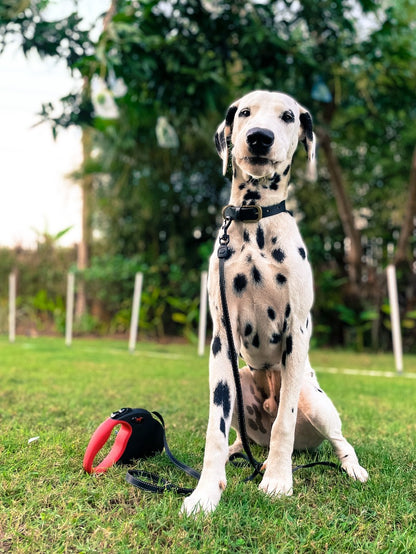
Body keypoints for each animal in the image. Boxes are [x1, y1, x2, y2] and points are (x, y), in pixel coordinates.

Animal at [182, 88, 368, 516]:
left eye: (287, 116)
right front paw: (205, 492)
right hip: (241, 386)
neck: (255, 221)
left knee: (335, 439)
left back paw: (349, 468)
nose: (259, 137)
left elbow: (284, 422)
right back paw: (242, 455)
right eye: (245, 112)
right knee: (245, 440)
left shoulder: (295, 332)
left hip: (313, 400)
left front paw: (279, 482)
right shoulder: (221, 341)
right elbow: (214, 430)